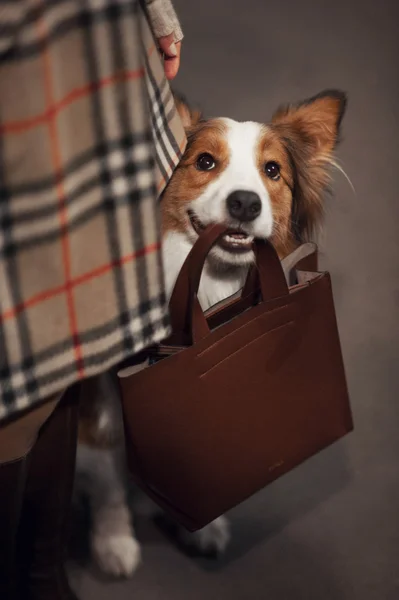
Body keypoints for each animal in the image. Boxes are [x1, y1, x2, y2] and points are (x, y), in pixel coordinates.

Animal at [74, 89, 346, 576]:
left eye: (271, 170)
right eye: (204, 162)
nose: (246, 203)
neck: (210, 284)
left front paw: (206, 526)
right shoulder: (103, 393)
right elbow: (106, 472)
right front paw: (113, 540)